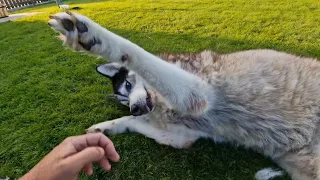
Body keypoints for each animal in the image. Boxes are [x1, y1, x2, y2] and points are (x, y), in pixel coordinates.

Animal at [48, 11, 320, 179]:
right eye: (124, 101)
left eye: (127, 83)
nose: (135, 108)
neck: (161, 104)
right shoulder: (181, 136)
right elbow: (134, 123)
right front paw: (104, 128)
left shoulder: (197, 94)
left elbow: (135, 52)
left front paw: (89, 35)